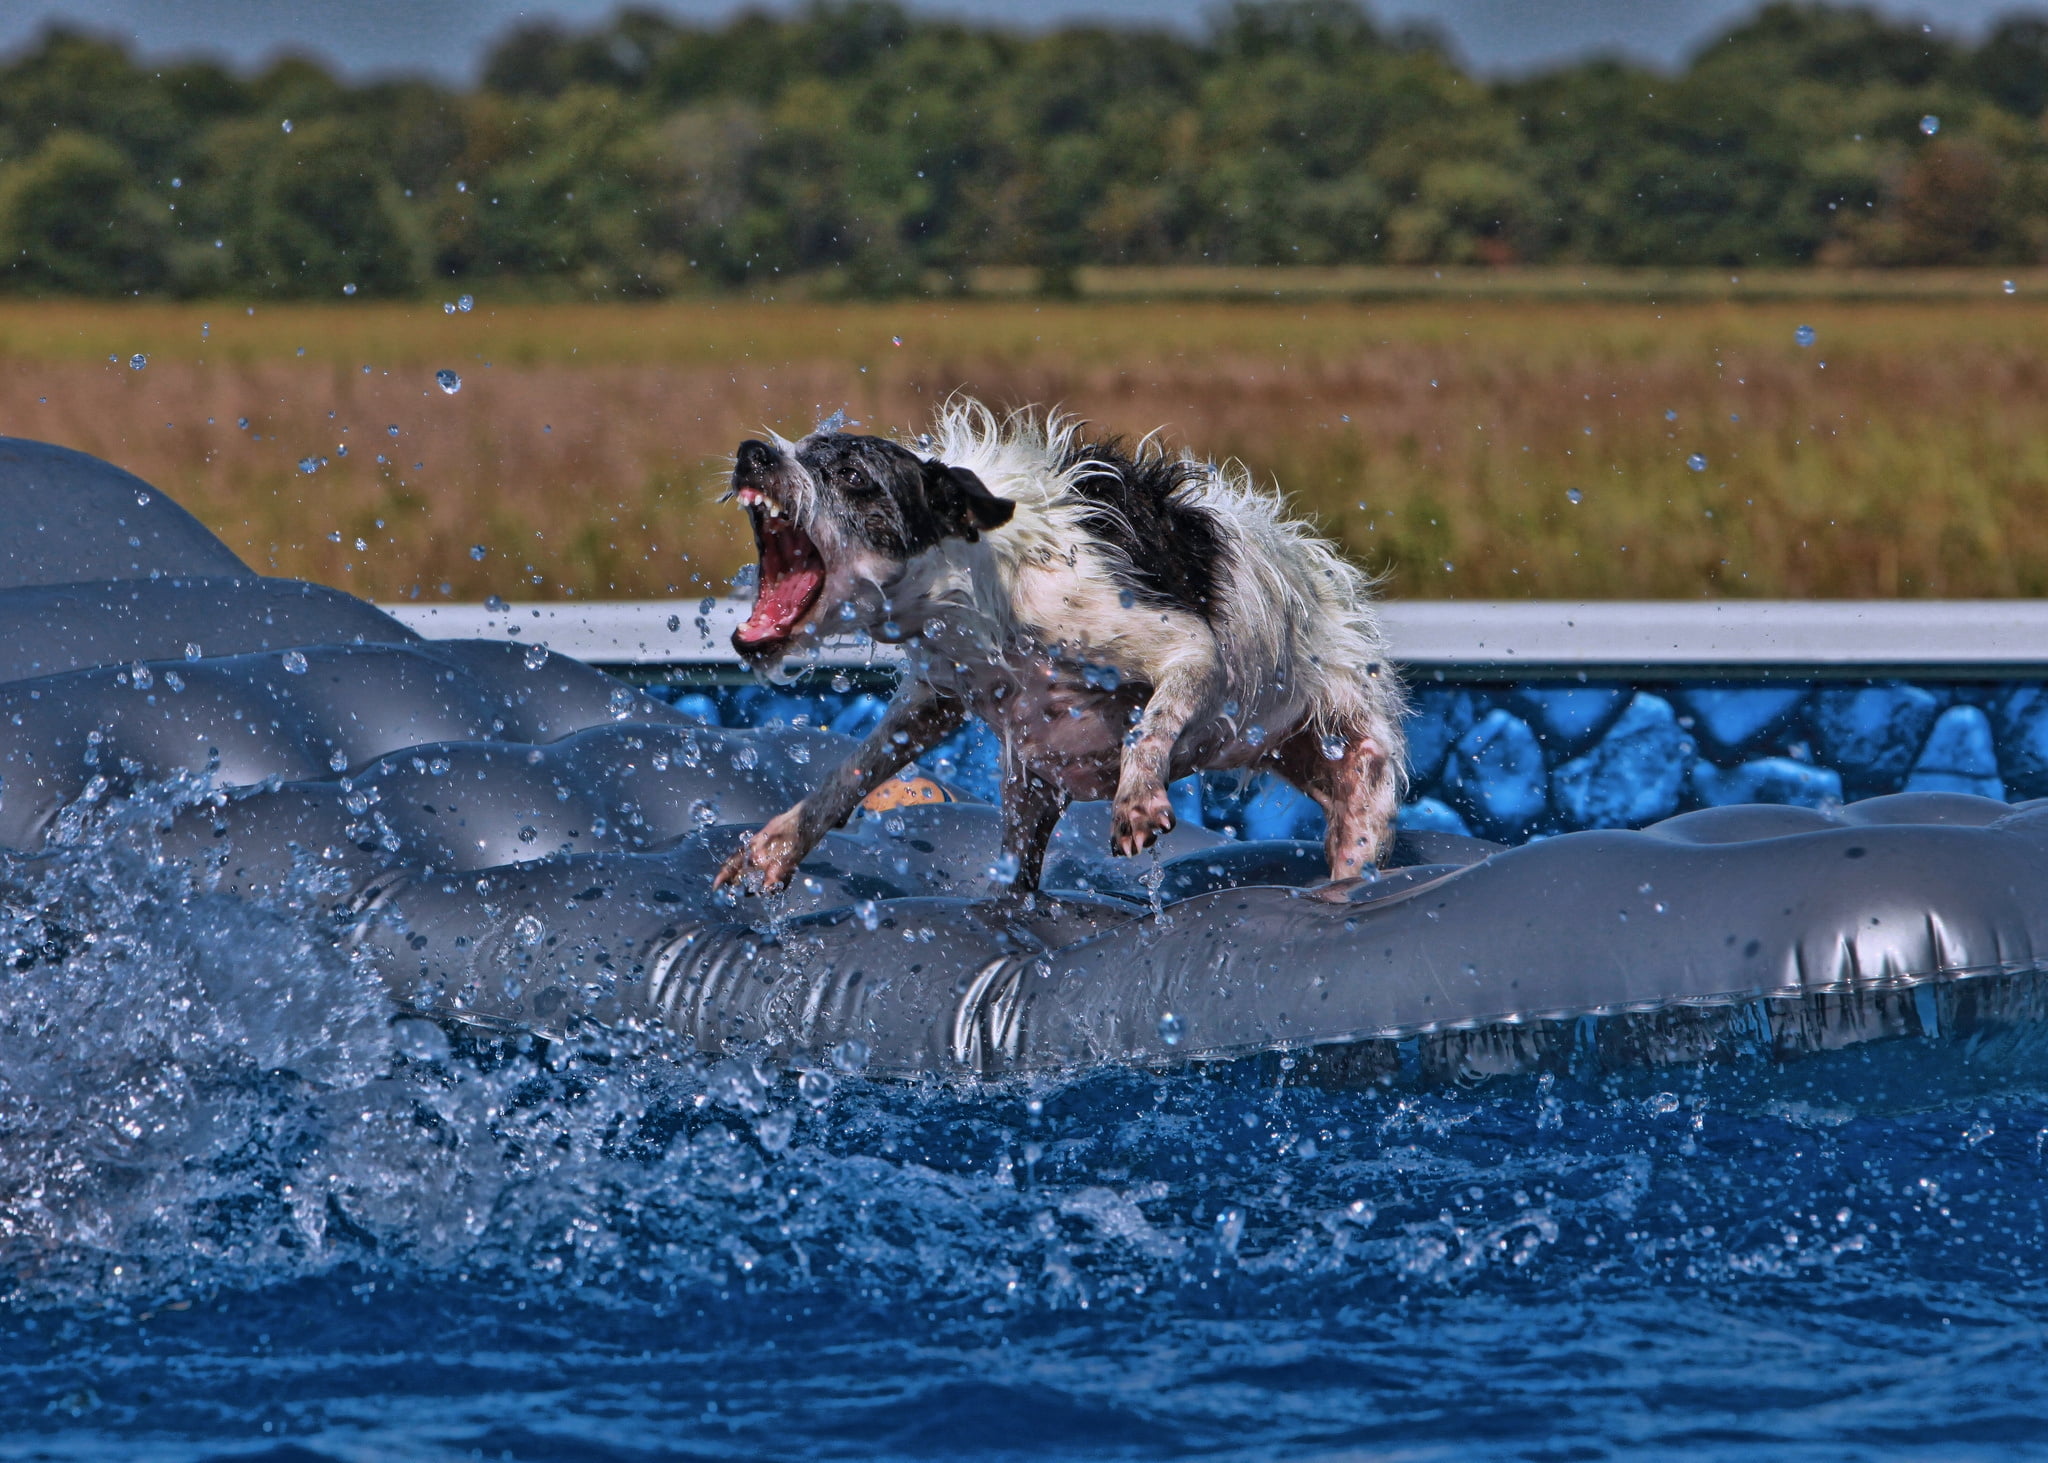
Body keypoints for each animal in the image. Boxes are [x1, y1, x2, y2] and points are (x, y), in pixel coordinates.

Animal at [712, 401, 1400, 889]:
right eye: (795, 449)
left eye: (853, 476)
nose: (752, 453)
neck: (981, 583)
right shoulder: (938, 695)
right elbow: (852, 768)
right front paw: (779, 844)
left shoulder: (1184, 648)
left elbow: (1150, 725)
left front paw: (1136, 800)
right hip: (1030, 805)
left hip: (1359, 773)